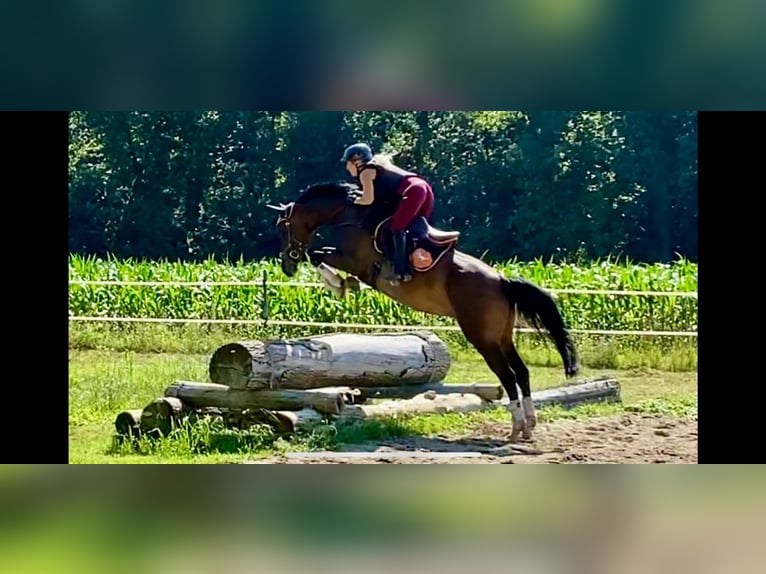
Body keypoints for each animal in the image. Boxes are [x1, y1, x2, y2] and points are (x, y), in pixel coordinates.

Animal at [268, 181, 579, 441]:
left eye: (283, 227)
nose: (287, 264)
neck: (350, 214)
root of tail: (501, 280)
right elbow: (318, 256)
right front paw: (342, 284)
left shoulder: (354, 261)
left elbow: (317, 256)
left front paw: (339, 284)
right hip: (502, 337)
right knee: (522, 372)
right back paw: (529, 425)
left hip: (483, 339)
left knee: (508, 375)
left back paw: (516, 427)